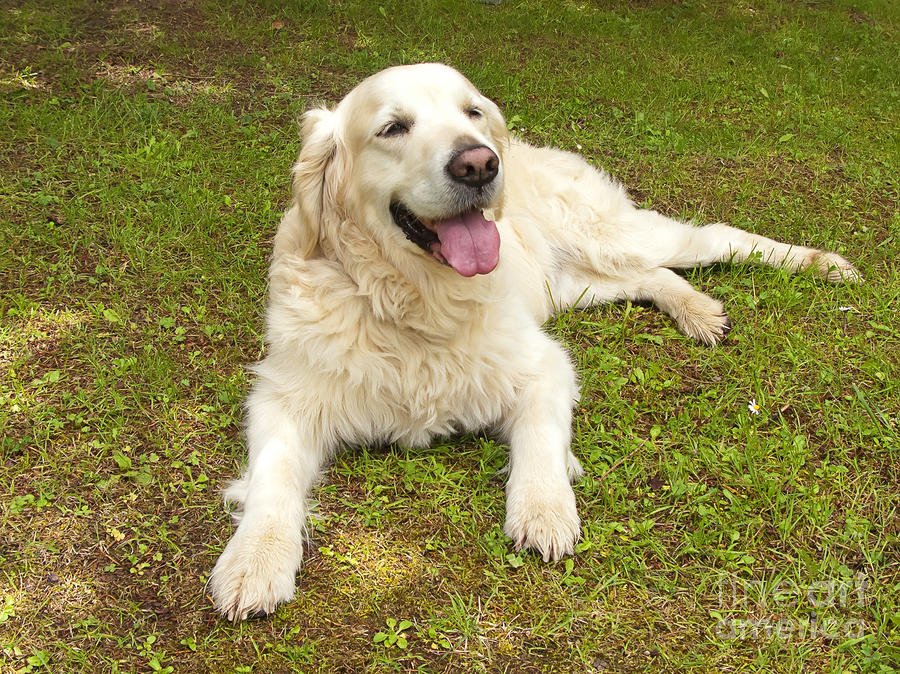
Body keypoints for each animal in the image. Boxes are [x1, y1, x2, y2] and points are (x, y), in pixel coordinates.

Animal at [209, 63, 856, 620]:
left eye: (471, 112)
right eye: (393, 127)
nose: (479, 163)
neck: (416, 301)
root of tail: (529, 145)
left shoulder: (544, 364)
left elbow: (539, 439)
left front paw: (544, 510)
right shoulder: (283, 397)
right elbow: (272, 476)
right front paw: (253, 561)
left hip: (614, 237)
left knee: (713, 238)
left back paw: (824, 263)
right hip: (574, 282)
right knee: (653, 277)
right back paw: (696, 310)